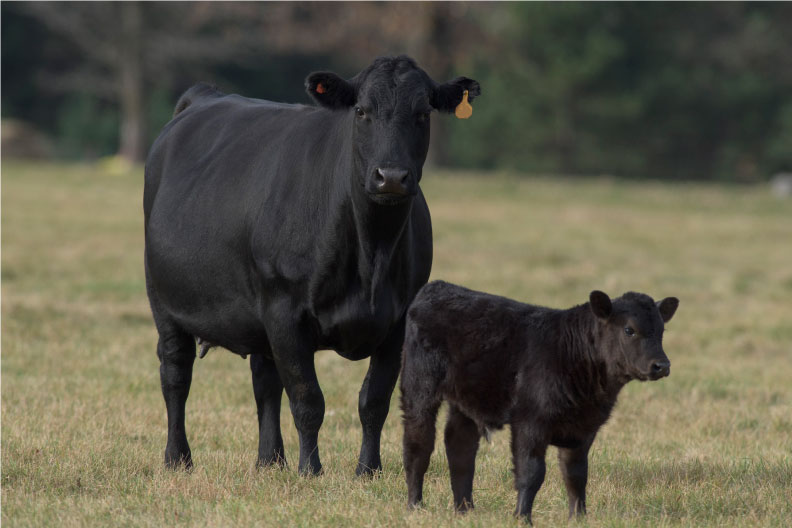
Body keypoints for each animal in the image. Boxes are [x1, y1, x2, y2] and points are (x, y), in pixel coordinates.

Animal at [145, 55, 480, 476]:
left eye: (423, 113)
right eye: (361, 111)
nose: (390, 177)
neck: (371, 256)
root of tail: (204, 95)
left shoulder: (398, 321)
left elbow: (374, 400)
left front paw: (368, 470)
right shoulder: (285, 311)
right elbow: (308, 399)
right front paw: (310, 470)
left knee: (265, 381)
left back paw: (270, 461)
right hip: (164, 301)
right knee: (176, 373)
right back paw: (178, 458)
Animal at [402, 282, 680, 520]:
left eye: (662, 331)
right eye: (629, 329)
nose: (662, 365)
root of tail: (436, 287)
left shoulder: (583, 429)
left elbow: (576, 474)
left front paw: (578, 518)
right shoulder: (530, 422)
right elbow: (532, 472)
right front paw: (522, 518)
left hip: (466, 401)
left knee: (460, 447)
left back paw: (465, 510)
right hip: (418, 388)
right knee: (418, 445)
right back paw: (415, 506)